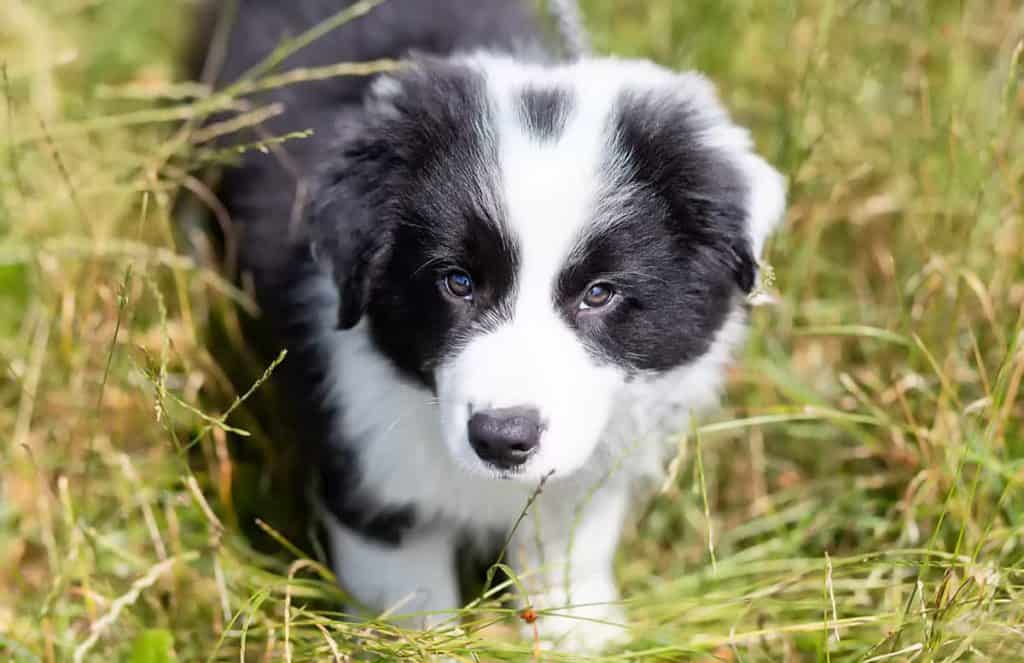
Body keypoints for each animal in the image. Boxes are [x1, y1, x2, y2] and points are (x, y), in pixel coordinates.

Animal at [195, 0, 786, 651]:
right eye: (457, 281)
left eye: (599, 294)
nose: (502, 439)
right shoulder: (372, 467)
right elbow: (408, 593)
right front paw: (418, 645)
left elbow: (567, 551)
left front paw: (580, 634)